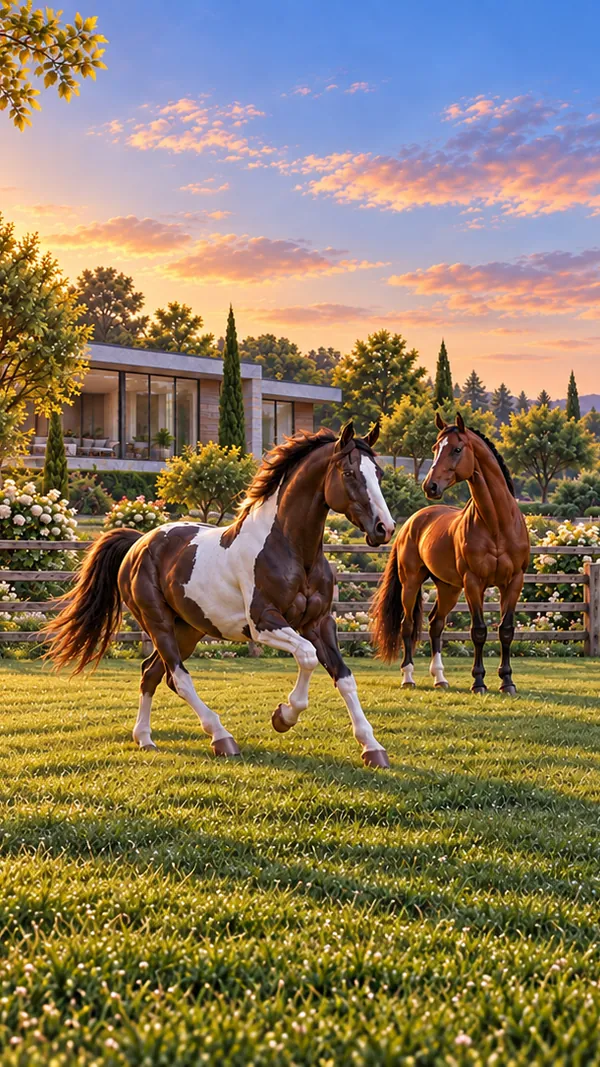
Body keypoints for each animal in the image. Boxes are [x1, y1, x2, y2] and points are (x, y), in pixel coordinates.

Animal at [45, 422, 396, 767]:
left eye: (378, 473)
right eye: (349, 473)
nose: (385, 528)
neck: (292, 551)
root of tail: (139, 542)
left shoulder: (320, 623)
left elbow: (344, 677)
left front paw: (372, 748)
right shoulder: (264, 623)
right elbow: (307, 656)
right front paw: (283, 716)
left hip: (187, 629)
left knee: (151, 673)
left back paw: (145, 738)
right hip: (158, 624)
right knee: (178, 677)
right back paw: (221, 738)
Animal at [371, 411, 529, 695]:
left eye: (456, 449)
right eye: (435, 448)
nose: (430, 486)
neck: (497, 525)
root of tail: (413, 521)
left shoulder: (513, 582)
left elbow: (506, 630)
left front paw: (507, 682)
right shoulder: (473, 582)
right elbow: (478, 631)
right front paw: (479, 682)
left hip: (448, 588)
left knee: (436, 624)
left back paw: (440, 678)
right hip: (412, 582)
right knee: (407, 626)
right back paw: (408, 677)